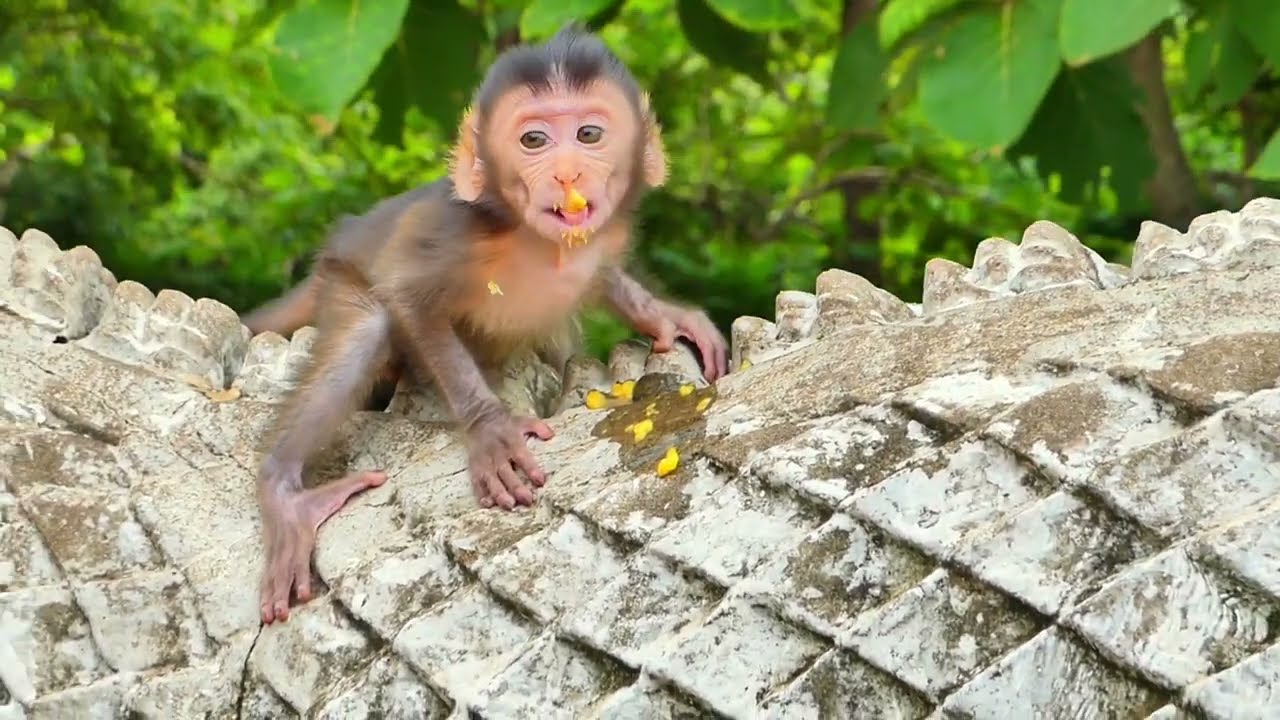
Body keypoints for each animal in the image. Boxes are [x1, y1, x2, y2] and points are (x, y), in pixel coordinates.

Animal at [252, 25, 730, 624]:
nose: (567, 173)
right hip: (342, 276)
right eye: (534, 141)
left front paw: (666, 313)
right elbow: (410, 299)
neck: (545, 246)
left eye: (589, 134)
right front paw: (492, 432)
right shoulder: (456, 230)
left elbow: (605, 275)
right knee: (368, 329)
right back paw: (284, 493)